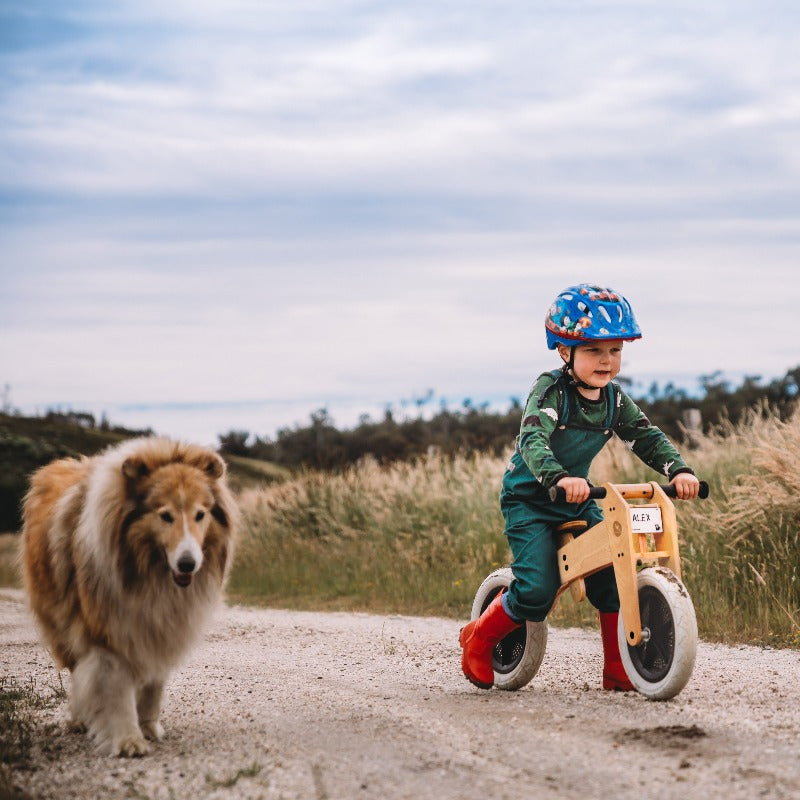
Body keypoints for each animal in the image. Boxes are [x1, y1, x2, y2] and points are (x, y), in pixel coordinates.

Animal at [21, 438, 238, 756]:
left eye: (200, 514)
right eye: (165, 516)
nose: (188, 564)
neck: (149, 572)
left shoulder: (158, 627)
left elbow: (153, 686)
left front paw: (148, 727)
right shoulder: (106, 630)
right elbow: (115, 689)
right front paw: (127, 740)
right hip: (61, 621)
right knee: (77, 672)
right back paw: (79, 718)